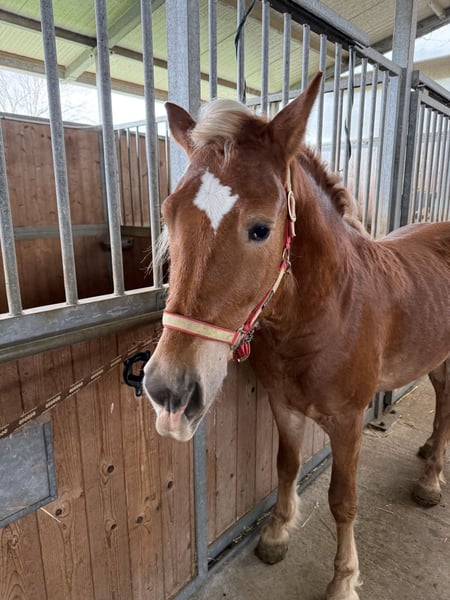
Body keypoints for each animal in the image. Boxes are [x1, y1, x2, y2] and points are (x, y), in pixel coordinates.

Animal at [143, 72, 450, 600]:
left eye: (261, 229)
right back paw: (429, 454)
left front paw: (344, 579)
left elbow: (343, 499)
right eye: (167, 215)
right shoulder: (283, 405)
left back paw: (431, 480)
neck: (328, 314)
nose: (168, 390)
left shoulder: (348, 423)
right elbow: (284, 467)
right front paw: (276, 533)